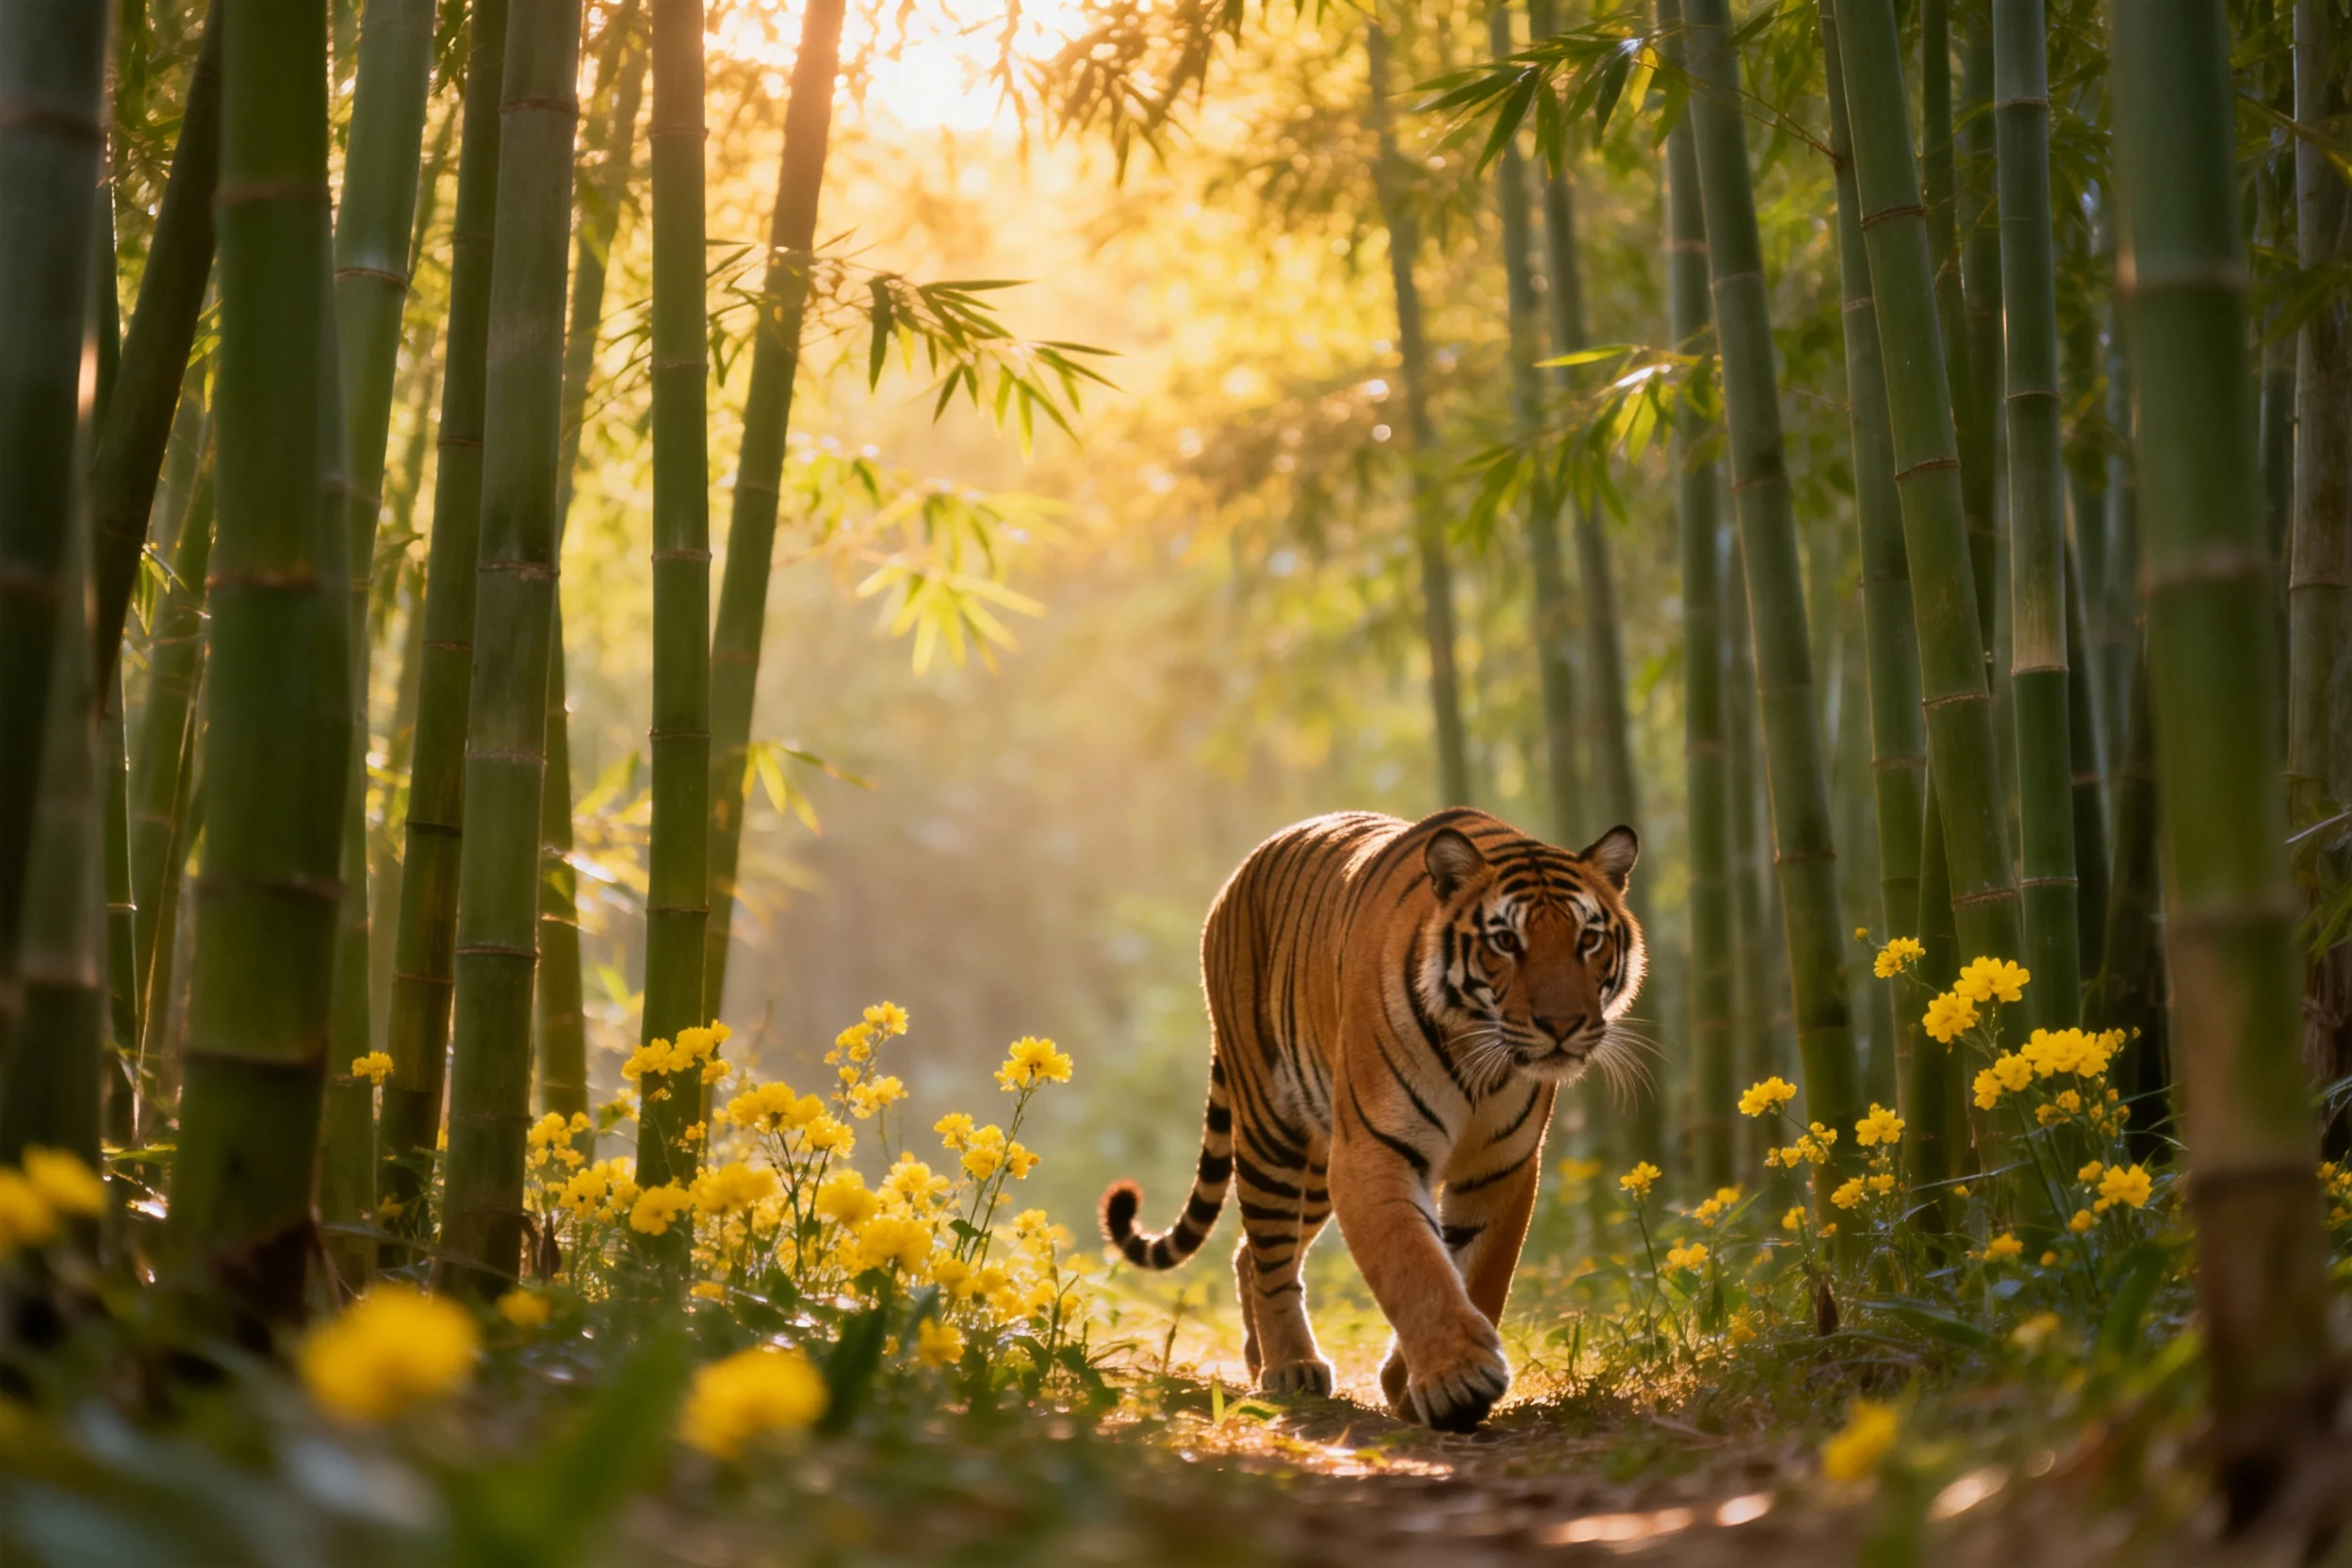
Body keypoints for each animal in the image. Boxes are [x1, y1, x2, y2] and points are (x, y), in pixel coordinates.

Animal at [1098, 807, 1645, 1432]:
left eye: (1589, 939)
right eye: (1506, 941)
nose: (1561, 1025)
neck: (1478, 1057)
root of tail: (1241, 872)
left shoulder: (1500, 1166)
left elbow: (1476, 1271)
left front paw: (1408, 1382)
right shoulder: (1374, 1152)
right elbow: (1415, 1265)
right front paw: (1457, 1378)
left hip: (1319, 1161)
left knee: (1250, 1254)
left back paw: (1261, 1357)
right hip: (1271, 1127)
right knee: (1270, 1248)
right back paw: (1290, 1367)